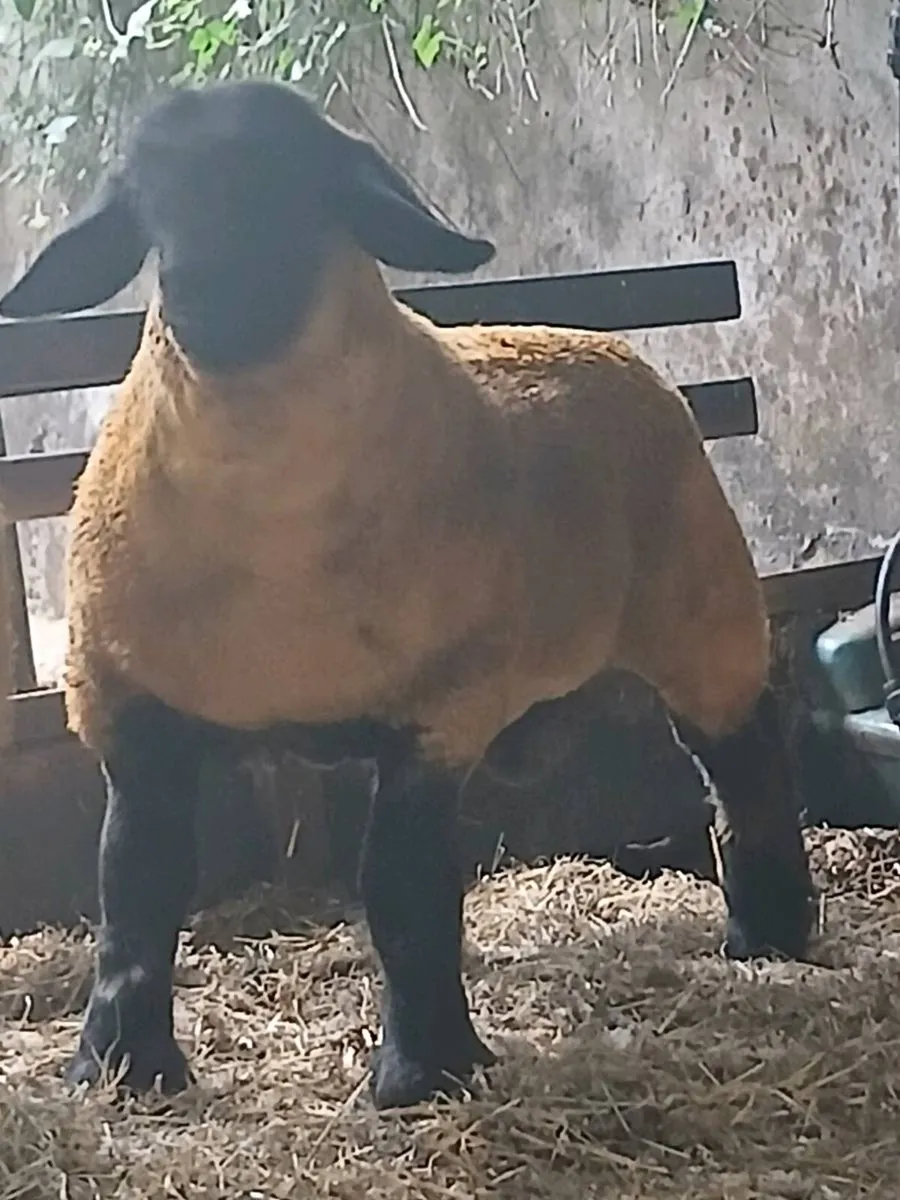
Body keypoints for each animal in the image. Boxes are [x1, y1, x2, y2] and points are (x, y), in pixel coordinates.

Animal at [0, 78, 816, 1111]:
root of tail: (604, 344)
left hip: (703, 607)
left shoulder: (440, 711)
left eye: (302, 183)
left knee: (745, 761)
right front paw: (119, 1068)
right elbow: (136, 892)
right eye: (149, 207)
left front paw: (425, 1069)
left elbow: (402, 884)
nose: (207, 295)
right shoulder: (129, 708)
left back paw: (770, 931)